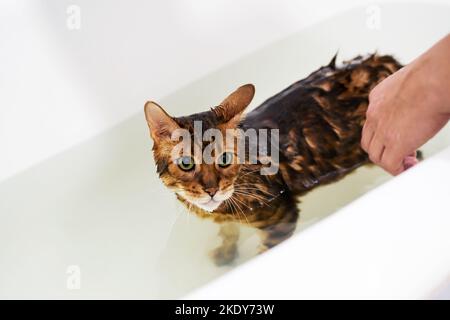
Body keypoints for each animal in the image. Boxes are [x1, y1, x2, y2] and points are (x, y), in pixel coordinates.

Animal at [143, 54, 400, 264]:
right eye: (186, 163)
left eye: (225, 159)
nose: (211, 190)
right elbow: (229, 232)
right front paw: (226, 252)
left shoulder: (280, 218)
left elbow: (264, 251)